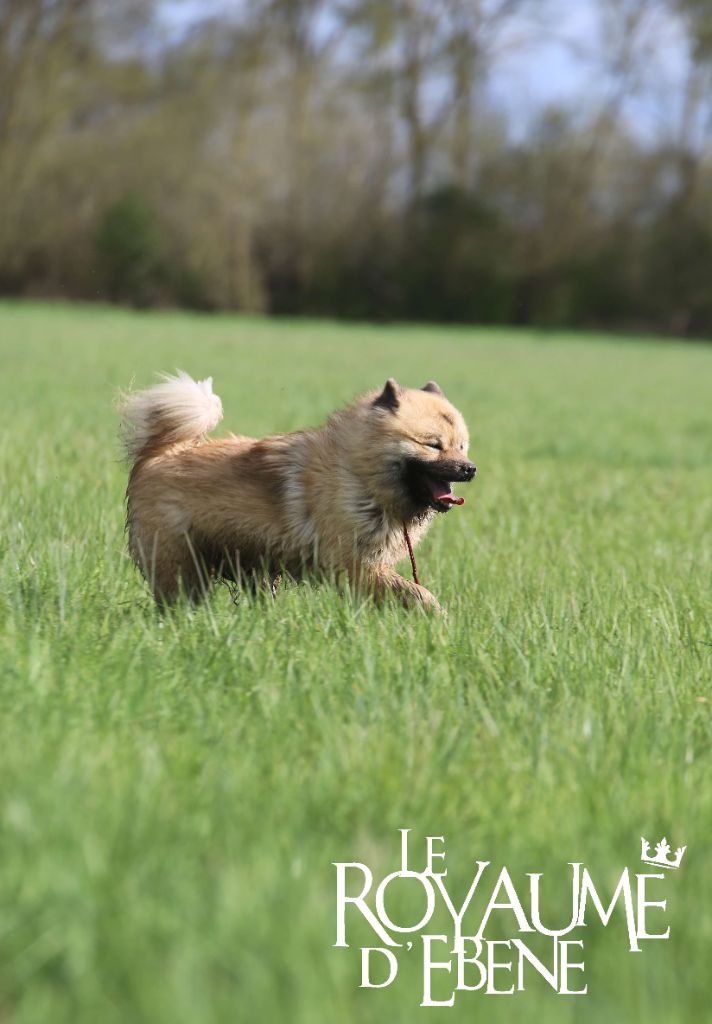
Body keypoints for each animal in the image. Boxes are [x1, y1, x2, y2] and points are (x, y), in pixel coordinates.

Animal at [119, 378, 475, 610]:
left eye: (461, 445)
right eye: (433, 445)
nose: (470, 469)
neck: (358, 473)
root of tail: (159, 452)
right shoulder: (353, 564)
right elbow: (418, 593)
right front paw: (438, 616)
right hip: (179, 563)